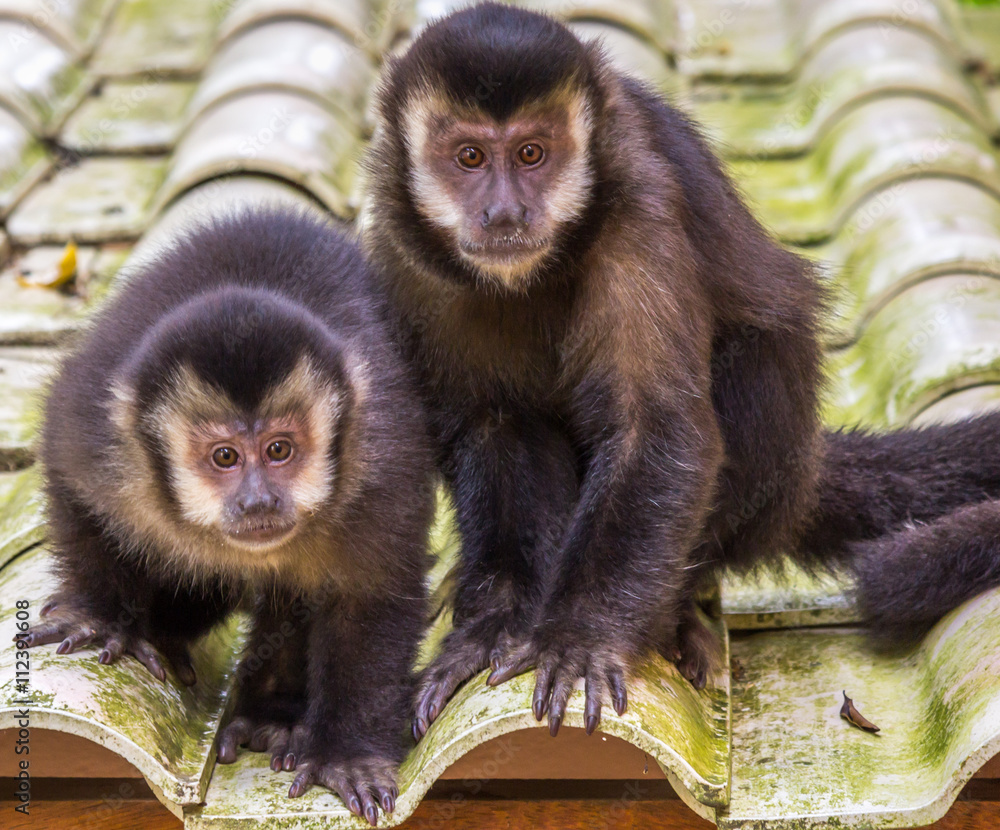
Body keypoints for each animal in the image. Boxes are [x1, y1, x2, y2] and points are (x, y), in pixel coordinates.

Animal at [16, 208, 434, 825]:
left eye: (280, 450)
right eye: (225, 458)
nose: (258, 502)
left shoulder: (385, 456)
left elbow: (374, 596)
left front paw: (346, 754)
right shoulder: (97, 431)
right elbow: (74, 483)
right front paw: (97, 617)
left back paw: (273, 715)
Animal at [359, 2, 1000, 741]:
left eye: (531, 154)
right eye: (469, 157)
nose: (504, 212)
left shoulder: (639, 216)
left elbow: (657, 426)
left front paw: (581, 636)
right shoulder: (405, 249)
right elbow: (491, 424)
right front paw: (497, 627)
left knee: (757, 363)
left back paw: (679, 610)